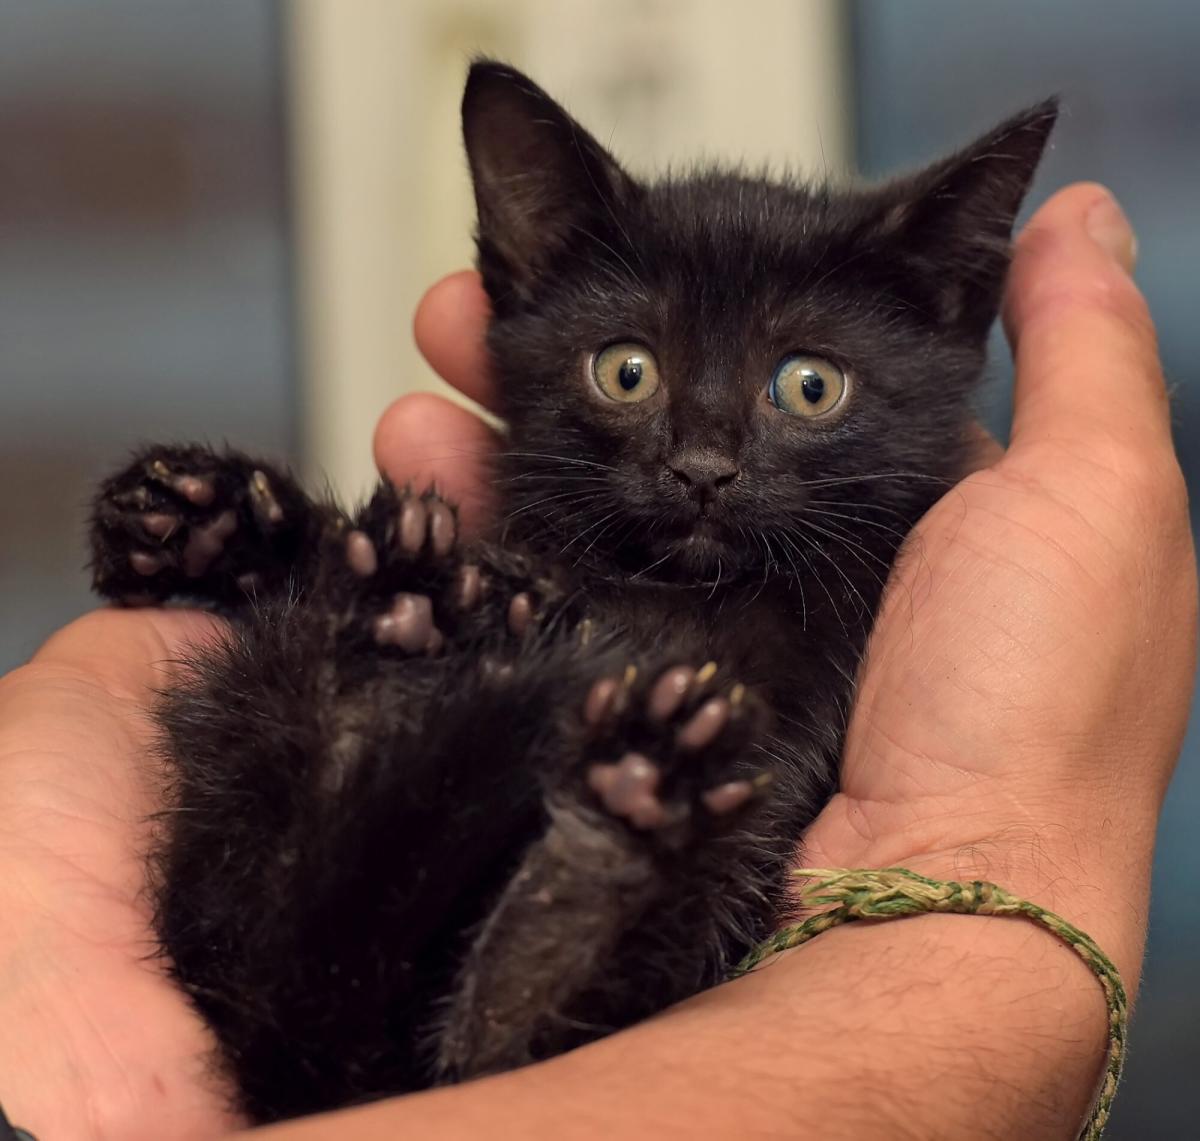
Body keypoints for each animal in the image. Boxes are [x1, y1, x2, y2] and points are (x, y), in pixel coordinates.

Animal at [88, 64, 1056, 1123]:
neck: (672, 596)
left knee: (493, 1042)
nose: (701, 468)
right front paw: (204, 517)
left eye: (810, 385)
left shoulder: (799, 719)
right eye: (626, 370)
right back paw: (393, 629)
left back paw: (609, 827)